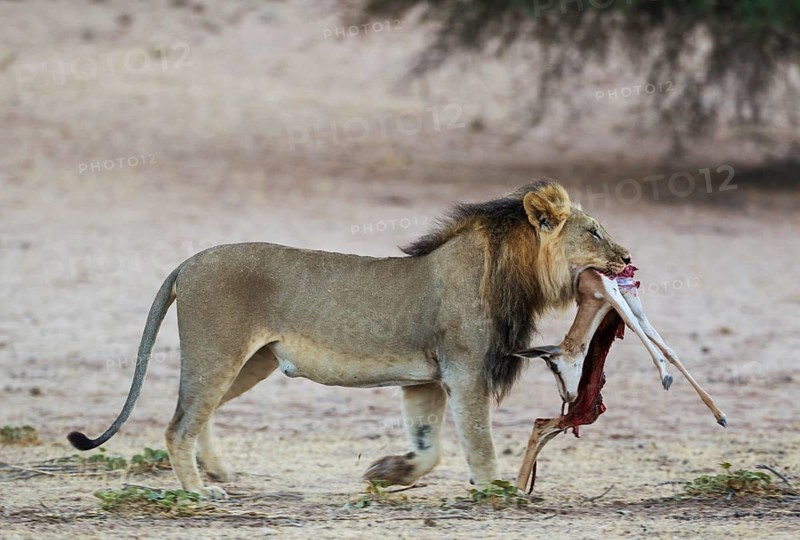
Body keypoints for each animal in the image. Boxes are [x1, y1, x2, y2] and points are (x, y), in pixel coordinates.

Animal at [67, 180, 631, 498]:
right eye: (594, 232)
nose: (627, 258)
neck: (514, 273)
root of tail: (188, 261)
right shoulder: (465, 369)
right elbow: (479, 441)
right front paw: (495, 491)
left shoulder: (426, 380)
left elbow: (429, 447)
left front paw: (387, 473)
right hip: (218, 353)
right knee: (178, 424)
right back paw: (198, 494)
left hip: (252, 362)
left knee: (199, 416)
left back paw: (220, 473)